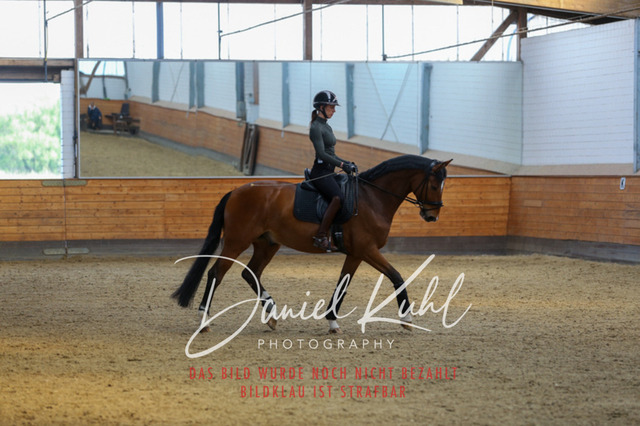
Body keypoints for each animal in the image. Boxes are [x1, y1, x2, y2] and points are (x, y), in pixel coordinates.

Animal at [172, 155, 452, 333]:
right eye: (434, 184)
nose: (432, 216)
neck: (372, 198)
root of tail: (236, 191)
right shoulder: (367, 250)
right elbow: (397, 276)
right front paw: (407, 318)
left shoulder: (356, 253)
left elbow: (342, 284)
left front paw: (332, 322)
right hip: (236, 241)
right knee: (215, 273)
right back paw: (204, 320)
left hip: (267, 244)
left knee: (250, 273)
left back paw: (272, 314)